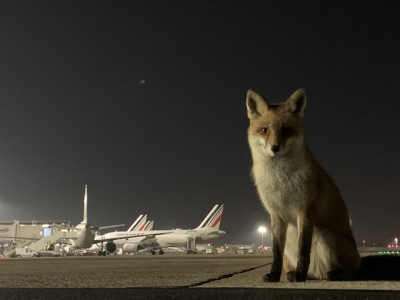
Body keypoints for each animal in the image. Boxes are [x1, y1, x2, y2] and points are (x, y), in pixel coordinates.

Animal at [245, 88, 360, 282]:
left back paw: (332, 274)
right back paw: (295, 274)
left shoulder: (305, 210)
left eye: (286, 129)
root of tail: (318, 274)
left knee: (350, 271)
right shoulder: (275, 214)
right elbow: (276, 252)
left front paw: (300, 274)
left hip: (327, 235)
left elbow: (303, 250)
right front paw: (274, 275)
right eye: (264, 130)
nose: (274, 147)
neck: (280, 181)